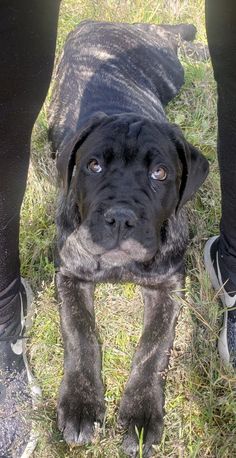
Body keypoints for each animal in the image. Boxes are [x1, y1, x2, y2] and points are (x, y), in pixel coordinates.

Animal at [48, 19, 208, 456]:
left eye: (160, 173)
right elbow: (80, 333)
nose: (120, 217)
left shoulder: (169, 285)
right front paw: (81, 406)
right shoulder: (69, 276)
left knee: (172, 37)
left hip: (169, 68)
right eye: (93, 166)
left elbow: (154, 347)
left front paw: (140, 415)